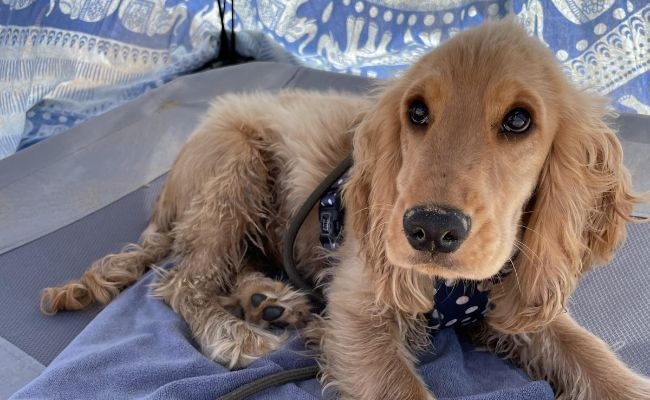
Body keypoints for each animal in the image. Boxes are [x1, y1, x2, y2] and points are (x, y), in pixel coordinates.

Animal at [41, 19, 648, 400]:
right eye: (417, 112)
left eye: (520, 120)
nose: (430, 229)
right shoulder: (358, 310)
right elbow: (398, 386)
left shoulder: (514, 297)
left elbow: (588, 353)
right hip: (234, 167)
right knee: (183, 281)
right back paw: (237, 332)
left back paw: (268, 301)